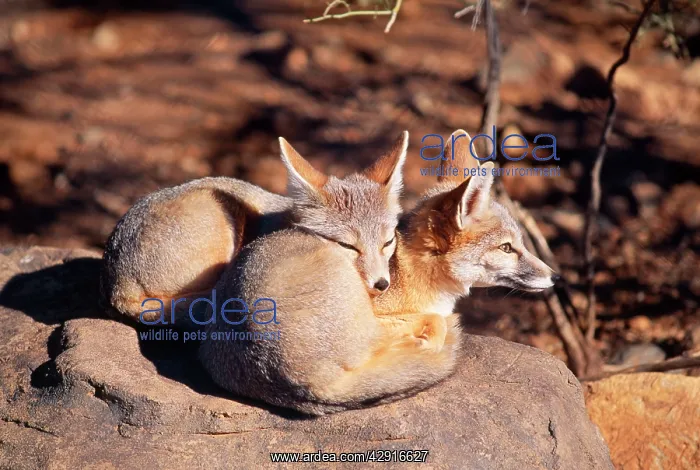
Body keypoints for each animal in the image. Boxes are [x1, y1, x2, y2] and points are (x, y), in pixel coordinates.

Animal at [199, 129, 557, 415]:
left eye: (519, 243)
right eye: (507, 248)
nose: (556, 277)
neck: (410, 268)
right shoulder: (384, 312)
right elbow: (434, 321)